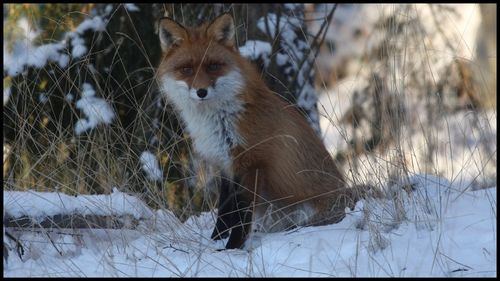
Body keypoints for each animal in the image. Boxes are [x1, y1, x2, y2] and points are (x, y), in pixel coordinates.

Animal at [158, 14, 362, 248]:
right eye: (187, 69)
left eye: (213, 66)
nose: (201, 92)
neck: (220, 119)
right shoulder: (225, 164)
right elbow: (224, 213)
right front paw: (216, 241)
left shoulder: (251, 162)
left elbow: (241, 215)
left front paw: (231, 248)